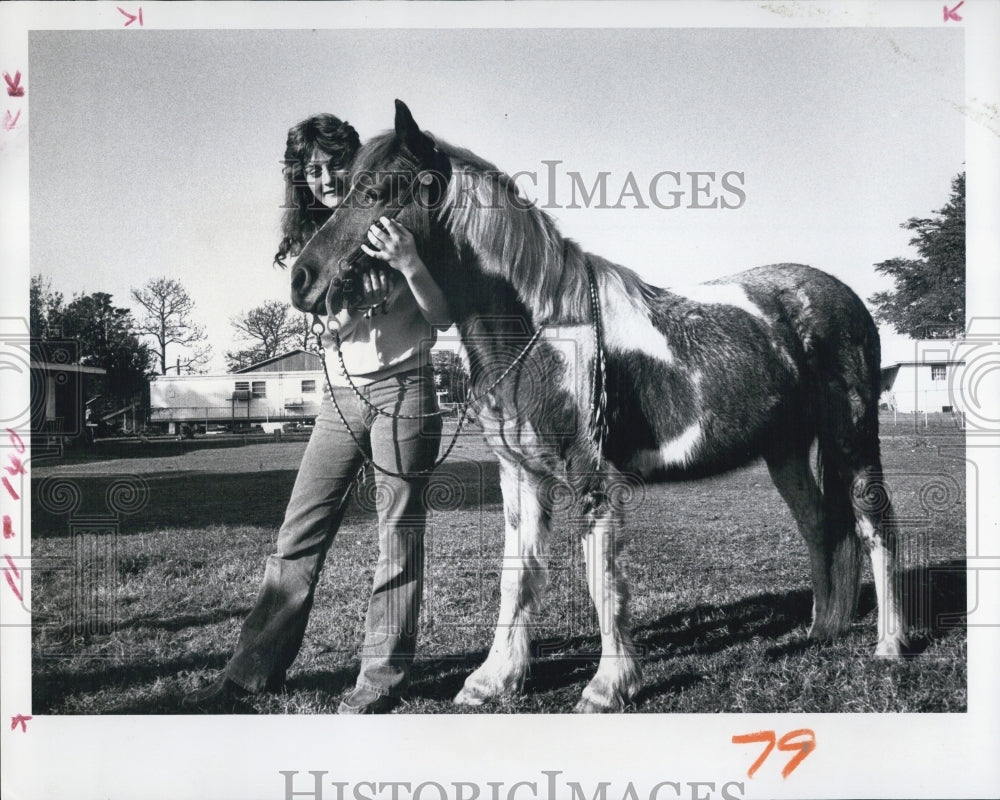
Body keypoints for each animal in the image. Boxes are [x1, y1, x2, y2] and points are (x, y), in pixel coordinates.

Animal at [288, 100, 908, 712]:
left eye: (380, 189)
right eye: (346, 185)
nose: (301, 278)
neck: (542, 331)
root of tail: (839, 296)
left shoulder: (593, 479)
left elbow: (601, 578)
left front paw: (608, 687)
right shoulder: (520, 475)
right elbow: (517, 576)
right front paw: (494, 680)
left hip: (853, 437)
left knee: (875, 521)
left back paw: (891, 645)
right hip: (784, 451)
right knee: (819, 523)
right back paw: (821, 630)